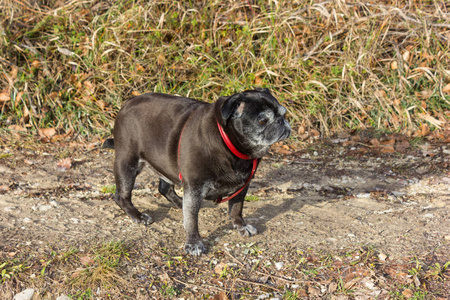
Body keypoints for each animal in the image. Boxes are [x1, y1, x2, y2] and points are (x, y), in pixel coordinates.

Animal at [102, 88, 290, 254]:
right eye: (262, 121)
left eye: (284, 113)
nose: (281, 122)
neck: (228, 143)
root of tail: (127, 104)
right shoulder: (194, 187)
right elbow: (192, 220)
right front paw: (194, 243)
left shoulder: (242, 186)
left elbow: (236, 208)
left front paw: (241, 226)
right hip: (127, 163)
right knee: (121, 196)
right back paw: (138, 216)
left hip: (165, 162)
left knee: (164, 188)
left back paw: (179, 203)